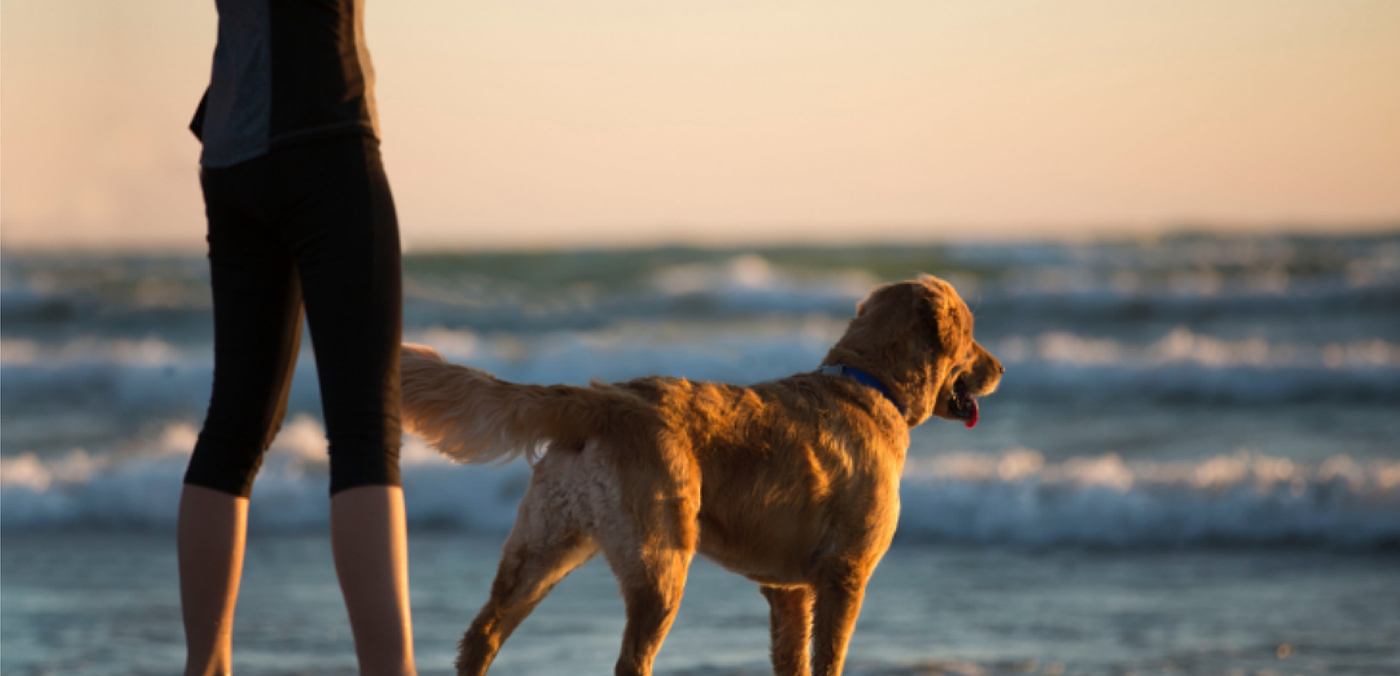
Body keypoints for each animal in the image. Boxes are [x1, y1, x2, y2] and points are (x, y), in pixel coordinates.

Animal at [400, 275, 1002, 676]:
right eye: (972, 332)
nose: (999, 368)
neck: (868, 382)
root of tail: (605, 400)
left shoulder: (787, 589)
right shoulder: (845, 576)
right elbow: (829, 660)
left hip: (545, 547)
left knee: (481, 634)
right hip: (660, 559)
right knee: (629, 660)